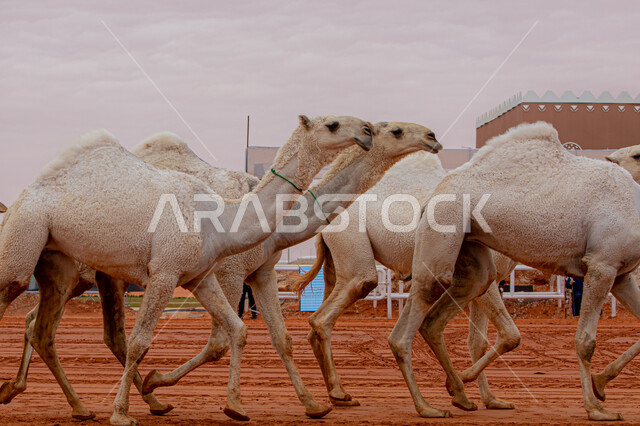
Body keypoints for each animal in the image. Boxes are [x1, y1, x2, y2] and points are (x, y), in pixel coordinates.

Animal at [1, 121, 441, 421]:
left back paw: (59, 399)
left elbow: (277, 337)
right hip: (79, 269)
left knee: (41, 323)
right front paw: (172, 385)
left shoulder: (257, 271)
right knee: (92, 331)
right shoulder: (228, 271)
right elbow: (219, 341)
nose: (432, 137)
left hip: (75, 275)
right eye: (396, 130)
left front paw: (314, 403)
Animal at [294, 151, 520, 409]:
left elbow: (477, 343)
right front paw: (457, 385)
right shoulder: (489, 283)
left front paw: (492, 400)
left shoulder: (485, 285)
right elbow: (510, 335)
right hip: (353, 250)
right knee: (337, 306)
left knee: (318, 319)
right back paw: (339, 394)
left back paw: (336, 393)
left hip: (334, 262)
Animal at [388, 121, 640, 421]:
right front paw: (595, 407)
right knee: (414, 314)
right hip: (443, 229)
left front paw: (600, 384)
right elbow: (585, 341)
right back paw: (427, 406)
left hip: (471, 251)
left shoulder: (621, 274)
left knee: (443, 311)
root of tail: (433, 195)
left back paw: (459, 394)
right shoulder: (601, 266)